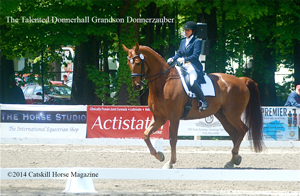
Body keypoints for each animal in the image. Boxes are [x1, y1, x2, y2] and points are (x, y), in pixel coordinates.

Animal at [122, 43, 262, 169]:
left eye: (138, 63)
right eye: (128, 63)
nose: (137, 86)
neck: (163, 82)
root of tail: (241, 80)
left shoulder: (174, 117)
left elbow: (172, 139)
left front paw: (170, 163)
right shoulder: (159, 118)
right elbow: (145, 135)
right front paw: (160, 156)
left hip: (232, 114)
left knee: (242, 130)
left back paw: (234, 158)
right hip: (222, 115)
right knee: (234, 133)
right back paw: (233, 160)